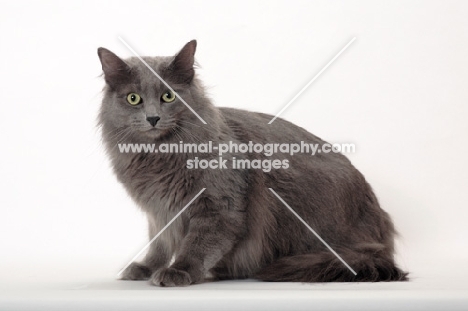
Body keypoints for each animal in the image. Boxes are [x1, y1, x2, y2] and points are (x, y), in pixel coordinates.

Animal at [98, 39, 406, 288]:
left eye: (168, 96)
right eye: (133, 98)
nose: (152, 118)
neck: (158, 157)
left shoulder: (218, 207)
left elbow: (197, 244)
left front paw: (179, 272)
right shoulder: (158, 210)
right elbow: (159, 243)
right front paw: (145, 267)